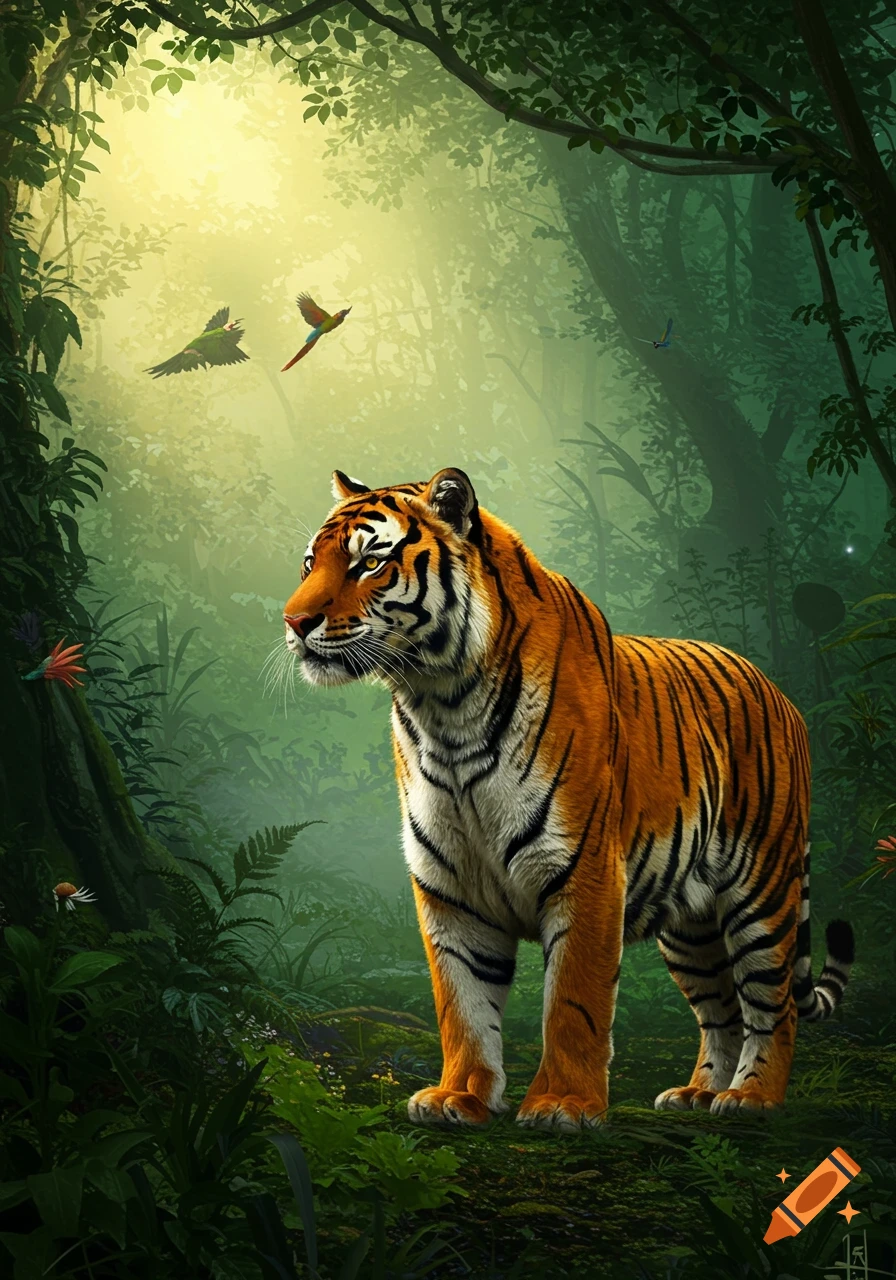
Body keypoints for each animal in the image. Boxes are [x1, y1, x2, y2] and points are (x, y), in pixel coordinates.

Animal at [282, 466, 855, 1132]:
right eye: (309, 564)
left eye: (369, 562)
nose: (293, 622)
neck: (441, 706)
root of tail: (778, 691)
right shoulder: (450, 888)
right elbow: (462, 1003)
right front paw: (459, 1097)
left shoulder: (586, 872)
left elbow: (573, 1002)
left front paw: (563, 1105)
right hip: (691, 926)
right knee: (721, 1012)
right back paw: (698, 1093)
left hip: (762, 894)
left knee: (771, 1006)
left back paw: (751, 1098)